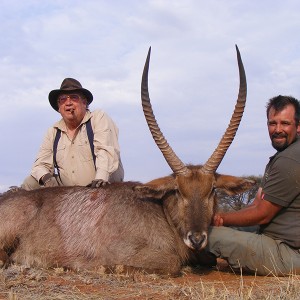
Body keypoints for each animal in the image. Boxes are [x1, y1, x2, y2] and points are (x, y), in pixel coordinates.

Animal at [0, 46, 254, 274]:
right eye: (177, 191)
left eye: (212, 190)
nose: (197, 238)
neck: (162, 212)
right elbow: (172, 264)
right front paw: (106, 268)